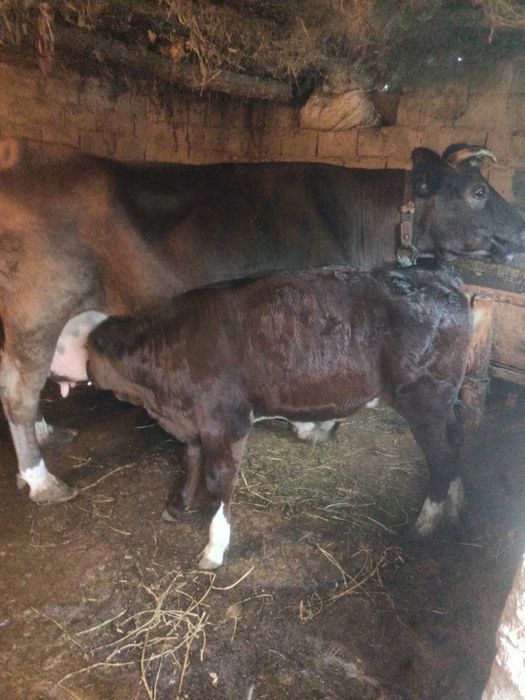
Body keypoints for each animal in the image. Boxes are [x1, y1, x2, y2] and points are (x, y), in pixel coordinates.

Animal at [0, 136, 522, 506]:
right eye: (478, 191)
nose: (520, 229)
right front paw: (312, 427)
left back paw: (47, 434)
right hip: (37, 315)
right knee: (19, 392)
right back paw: (42, 479)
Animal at [78, 266, 473, 569]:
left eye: (82, 347)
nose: (77, 375)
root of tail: (443, 278)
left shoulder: (227, 421)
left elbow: (218, 480)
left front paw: (214, 548)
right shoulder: (190, 421)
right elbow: (189, 459)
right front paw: (177, 507)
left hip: (424, 398)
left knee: (442, 457)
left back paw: (423, 526)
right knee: (455, 445)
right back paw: (455, 509)